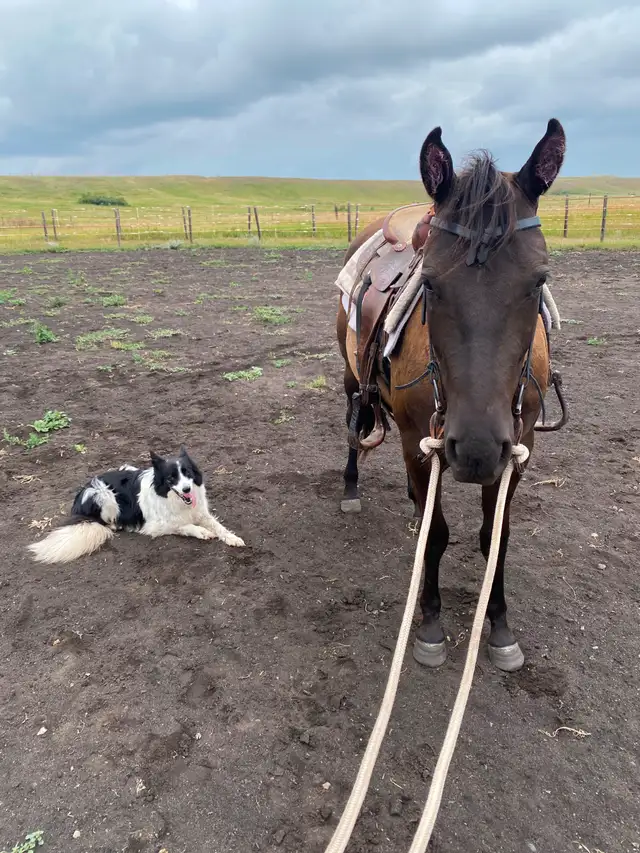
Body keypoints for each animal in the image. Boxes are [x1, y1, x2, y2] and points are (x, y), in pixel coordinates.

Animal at [336, 119, 567, 672]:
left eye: (538, 282)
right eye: (432, 284)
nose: (477, 450)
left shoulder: (518, 447)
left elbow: (494, 537)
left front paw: (499, 628)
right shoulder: (418, 438)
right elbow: (437, 536)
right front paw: (431, 626)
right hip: (355, 380)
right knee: (356, 422)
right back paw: (352, 488)